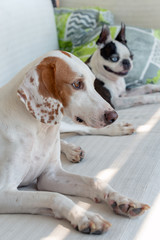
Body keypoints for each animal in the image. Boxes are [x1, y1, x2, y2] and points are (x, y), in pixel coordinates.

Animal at [0, 50, 149, 234]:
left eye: (93, 83)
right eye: (77, 84)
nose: (113, 116)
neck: (40, 129)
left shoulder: (51, 175)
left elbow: (94, 181)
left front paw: (122, 200)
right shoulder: (5, 192)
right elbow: (55, 197)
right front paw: (85, 216)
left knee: (80, 130)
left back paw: (113, 131)